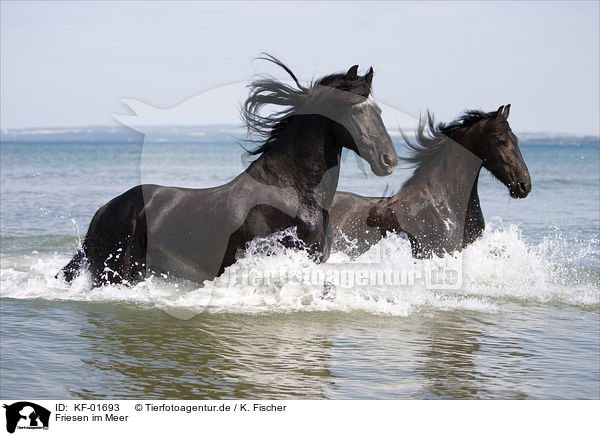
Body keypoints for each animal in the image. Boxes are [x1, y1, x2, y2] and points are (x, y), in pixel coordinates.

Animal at [59, 54, 398, 286]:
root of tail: (103, 211)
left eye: (378, 110)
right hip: (118, 273)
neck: (294, 193)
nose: (388, 160)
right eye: (354, 110)